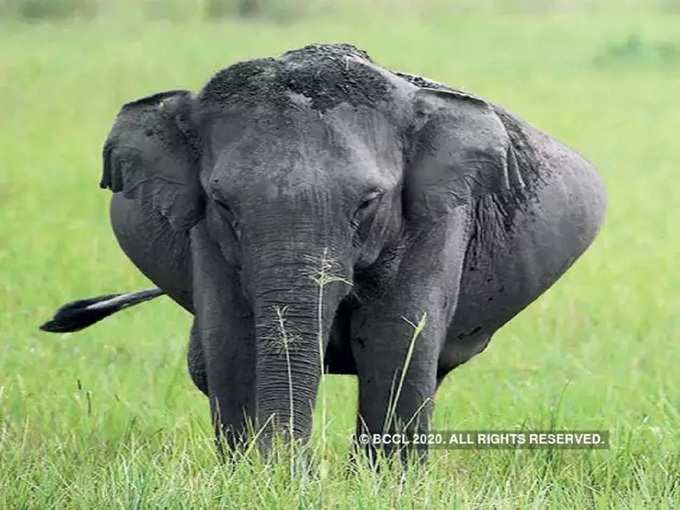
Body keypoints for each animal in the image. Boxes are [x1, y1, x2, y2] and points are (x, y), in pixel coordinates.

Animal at [39, 43, 608, 456]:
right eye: (223, 203)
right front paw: (256, 478)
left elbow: (396, 342)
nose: (301, 466)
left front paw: (383, 485)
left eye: (368, 202)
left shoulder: (437, 217)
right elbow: (233, 341)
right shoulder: (207, 233)